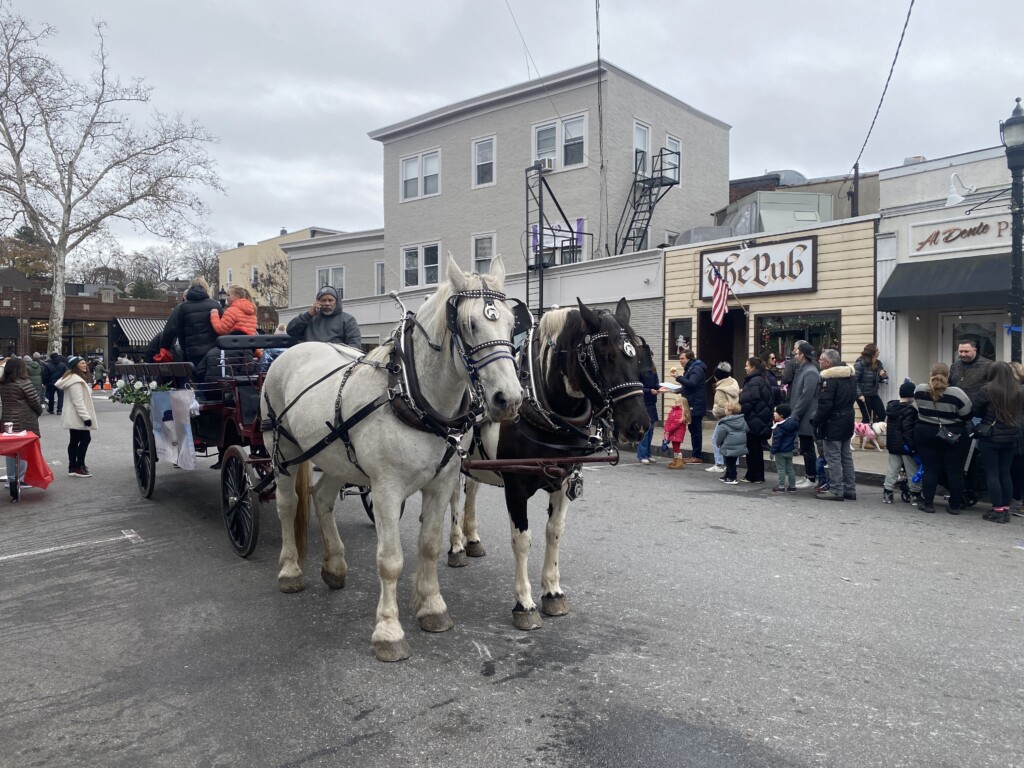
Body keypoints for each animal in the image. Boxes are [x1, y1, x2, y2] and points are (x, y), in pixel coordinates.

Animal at [260, 257, 524, 663]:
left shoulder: (442, 483)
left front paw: (432, 607)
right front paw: (388, 631)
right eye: (469, 325)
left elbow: (429, 547)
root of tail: (293, 351)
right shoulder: (386, 489)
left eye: (512, 324)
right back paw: (290, 570)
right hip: (282, 452)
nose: (508, 399)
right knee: (288, 505)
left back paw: (335, 565)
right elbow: (391, 560)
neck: (412, 395)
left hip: (336, 456)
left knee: (322, 498)